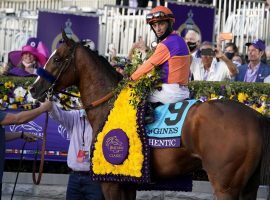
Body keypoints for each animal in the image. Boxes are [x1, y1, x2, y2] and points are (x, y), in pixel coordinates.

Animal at [30, 33, 270, 200]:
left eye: (57, 58)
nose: (34, 89)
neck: (108, 105)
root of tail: (256, 118)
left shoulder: (111, 182)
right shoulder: (128, 182)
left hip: (225, 185)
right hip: (248, 186)